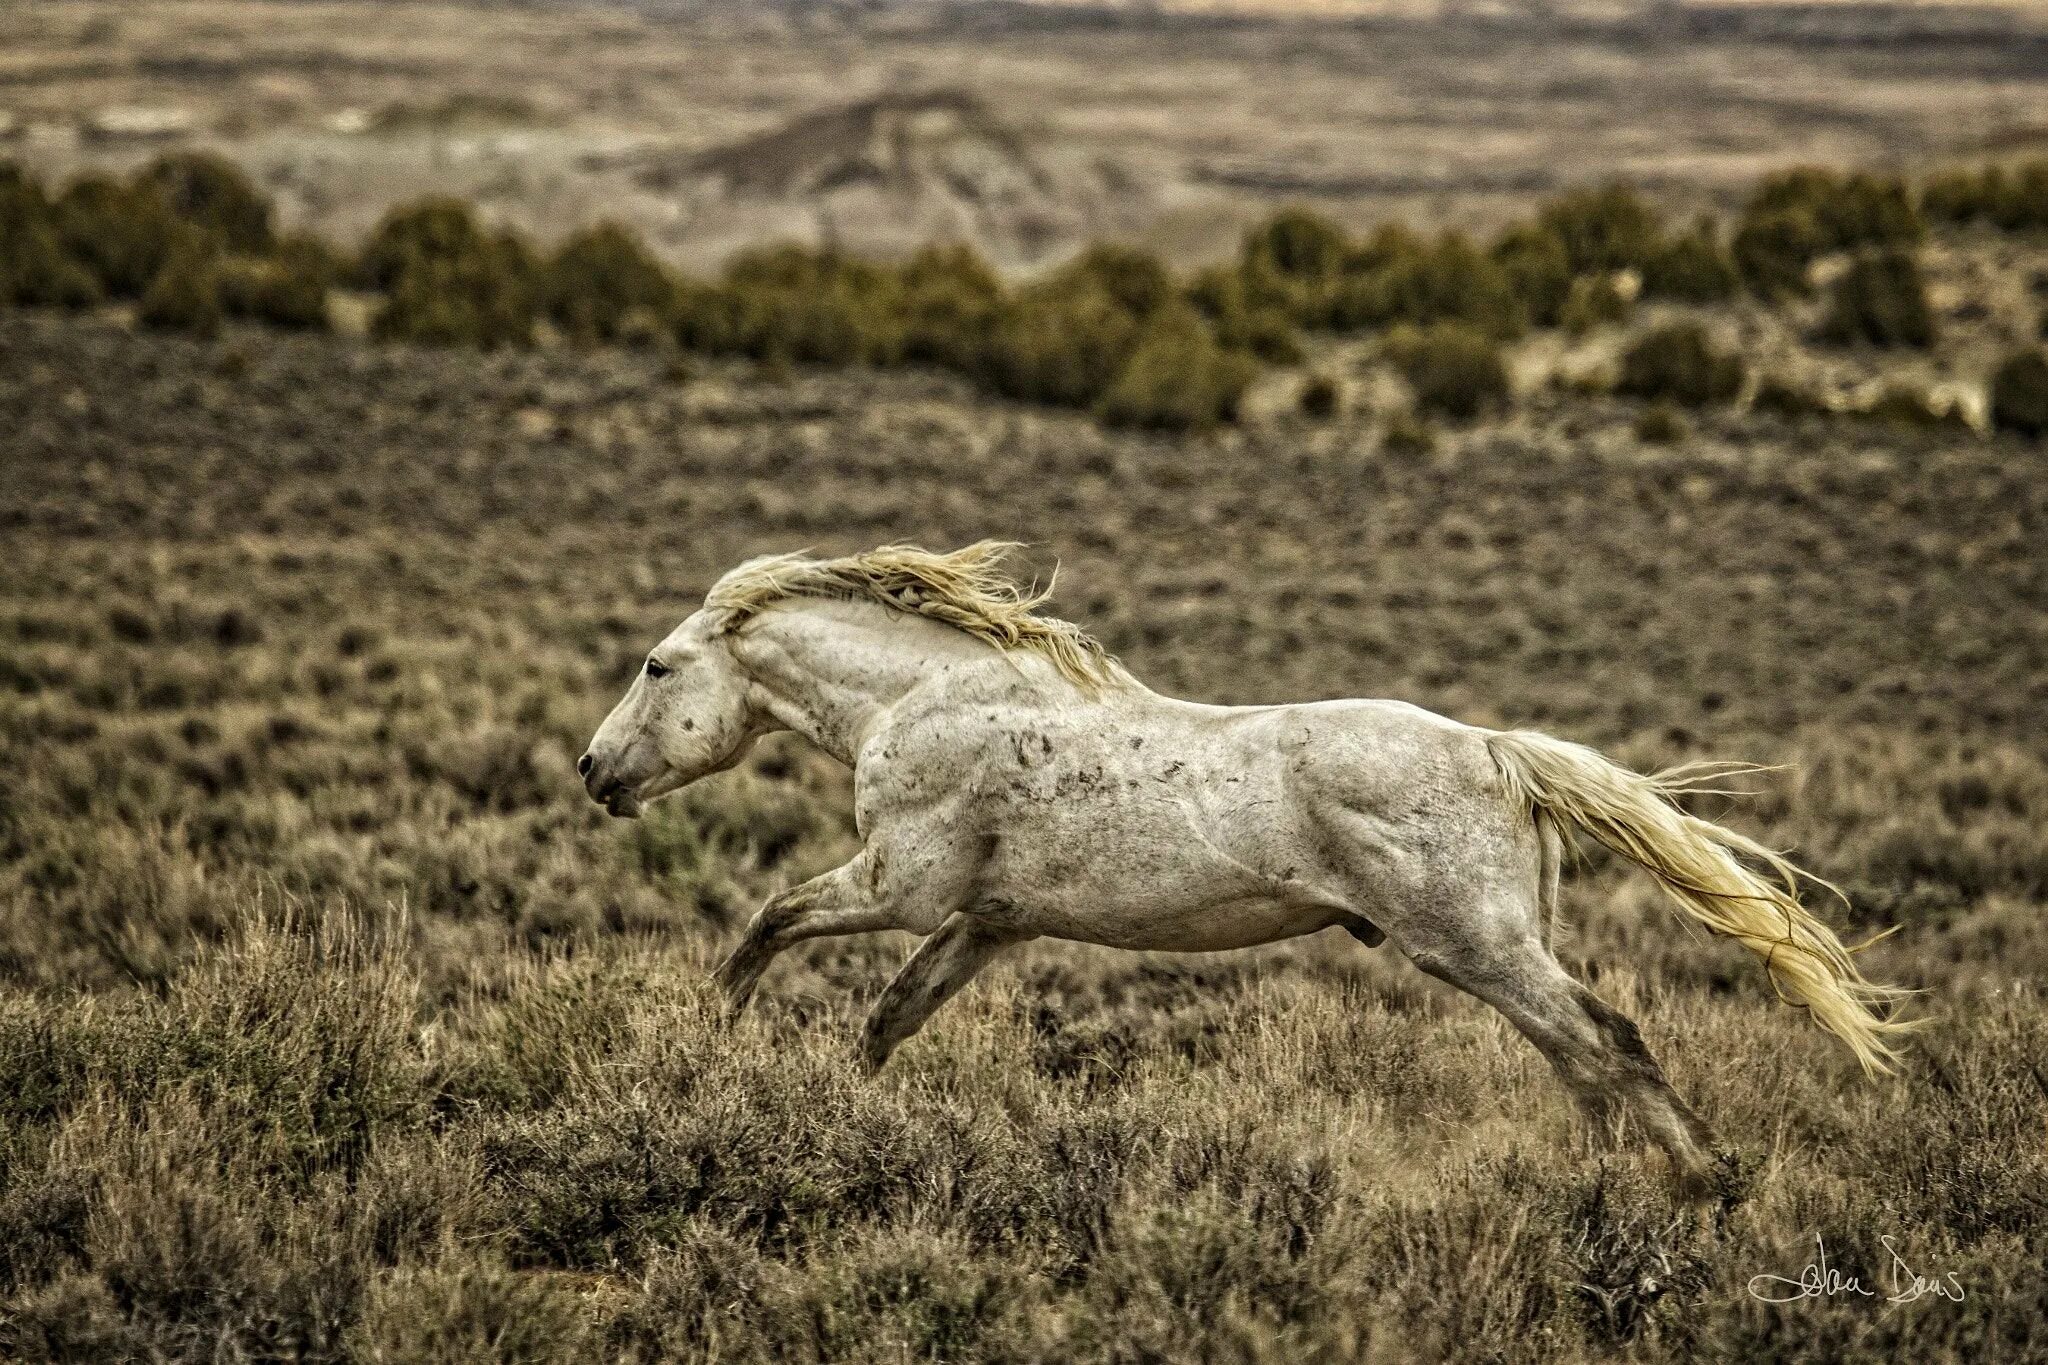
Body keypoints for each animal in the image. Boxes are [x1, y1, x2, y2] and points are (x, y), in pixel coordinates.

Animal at [573, 540, 1900, 1186]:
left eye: (655, 664)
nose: (593, 772)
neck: (921, 700)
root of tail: (1496, 749)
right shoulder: (987, 920)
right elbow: (885, 1023)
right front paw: (832, 1110)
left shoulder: (901, 889)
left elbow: (765, 923)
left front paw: (710, 1046)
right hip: (1498, 949)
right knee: (1578, 1058)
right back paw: (1610, 1196)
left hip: (1471, 944)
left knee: (1605, 1041)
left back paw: (1703, 1187)